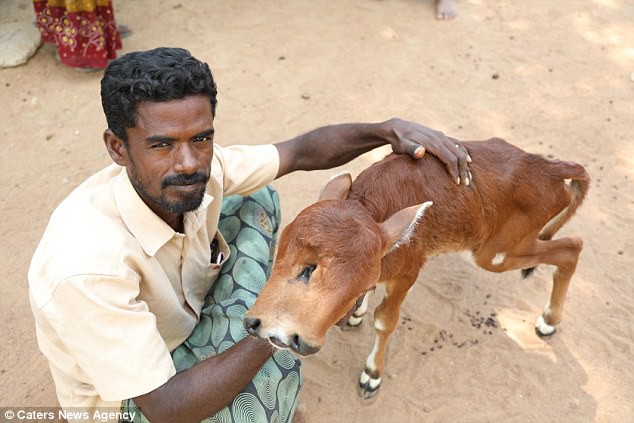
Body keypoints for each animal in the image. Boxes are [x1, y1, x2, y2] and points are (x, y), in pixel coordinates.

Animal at [243, 137, 588, 400]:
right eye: (306, 266)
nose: (296, 339)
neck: (375, 205)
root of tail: (551, 167)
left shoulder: (409, 272)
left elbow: (385, 320)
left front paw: (372, 374)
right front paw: (356, 314)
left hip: (496, 253)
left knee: (572, 247)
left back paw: (548, 321)